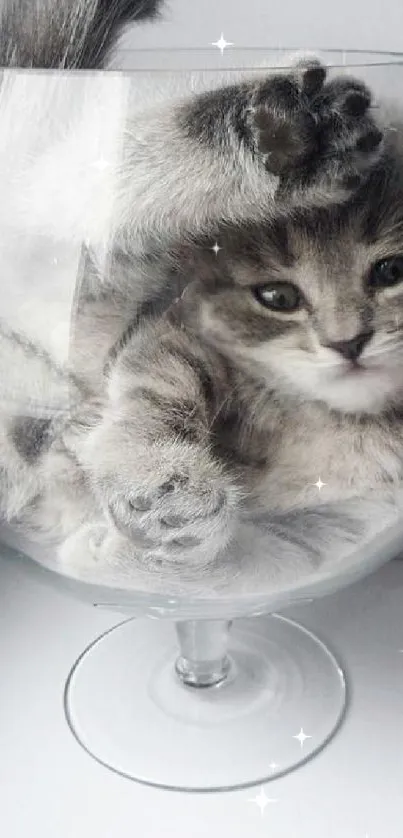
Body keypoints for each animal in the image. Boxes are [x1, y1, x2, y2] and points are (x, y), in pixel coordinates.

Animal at [0, 0, 398, 592]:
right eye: (277, 297)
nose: (349, 343)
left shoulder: (341, 527)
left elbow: (252, 563)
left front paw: (132, 547)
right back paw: (282, 133)